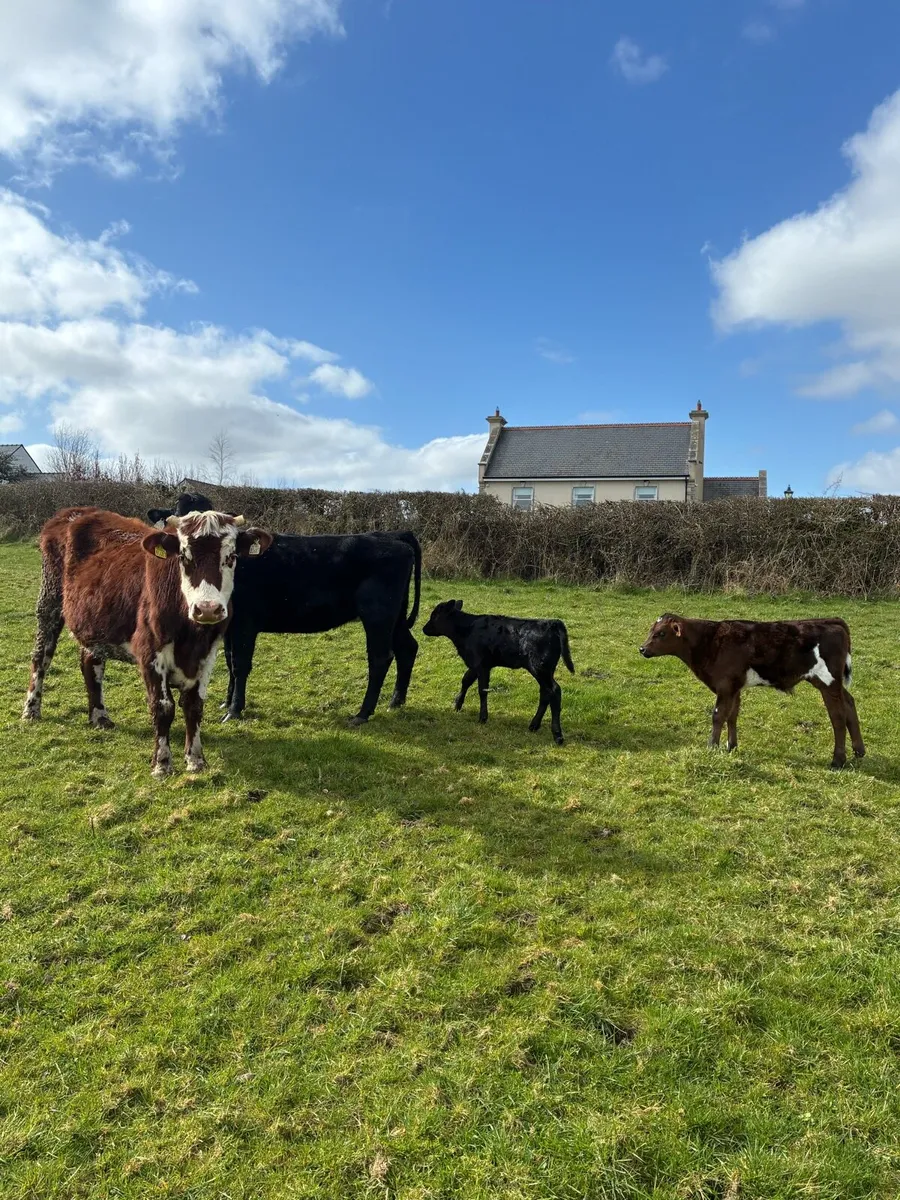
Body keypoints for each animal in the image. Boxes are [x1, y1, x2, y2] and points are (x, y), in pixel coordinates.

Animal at [22, 506, 272, 777]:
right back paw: (31, 709)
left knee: (91, 664)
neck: (190, 636)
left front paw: (196, 760)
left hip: (94, 621)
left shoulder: (208, 652)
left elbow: (194, 705)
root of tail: (75, 512)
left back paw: (99, 716)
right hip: (49, 602)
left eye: (231, 556)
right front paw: (162, 763)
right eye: (183, 556)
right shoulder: (150, 651)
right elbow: (163, 707)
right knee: (41, 657)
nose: (207, 609)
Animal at [422, 599, 575, 744]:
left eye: (434, 615)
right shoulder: (475, 664)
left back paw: (557, 735)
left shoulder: (482, 665)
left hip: (540, 668)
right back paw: (534, 725)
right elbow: (466, 680)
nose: (424, 628)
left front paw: (483, 717)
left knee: (554, 691)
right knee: (545, 693)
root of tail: (552, 622)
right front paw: (457, 704)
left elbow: (482, 690)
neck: (468, 629)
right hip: (543, 671)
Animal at [639, 613, 865, 769]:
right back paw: (859, 750)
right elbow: (732, 715)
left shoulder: (725, 686)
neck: (710, 641)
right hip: (834, 683)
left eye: (661, 633)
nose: (642, 649)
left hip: (828, 682)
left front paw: (712, 746)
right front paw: (731, 746)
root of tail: (830, 620)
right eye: (651, 630)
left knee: (838, 716)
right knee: (849, 703)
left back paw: (838, 760)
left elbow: (718, 716)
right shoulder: (734, 687)